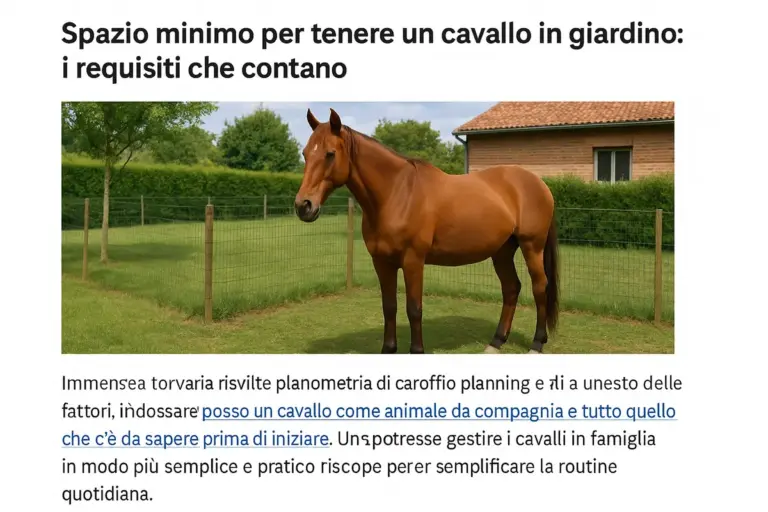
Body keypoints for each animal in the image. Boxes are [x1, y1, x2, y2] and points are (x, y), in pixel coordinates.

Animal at [294, 108, 559, 355]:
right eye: (305, 153)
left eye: (330, 154)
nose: (303, 206)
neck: (397, 194)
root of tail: (539, 184)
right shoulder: (382, 262)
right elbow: (389, 306)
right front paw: (389, 349)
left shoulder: (413, 261)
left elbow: (414, 309)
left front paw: (417, 350)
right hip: (502, 251)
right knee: (511, 288)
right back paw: (496, 342)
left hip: (532, 246)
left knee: (539, 287)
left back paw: (537, 343)